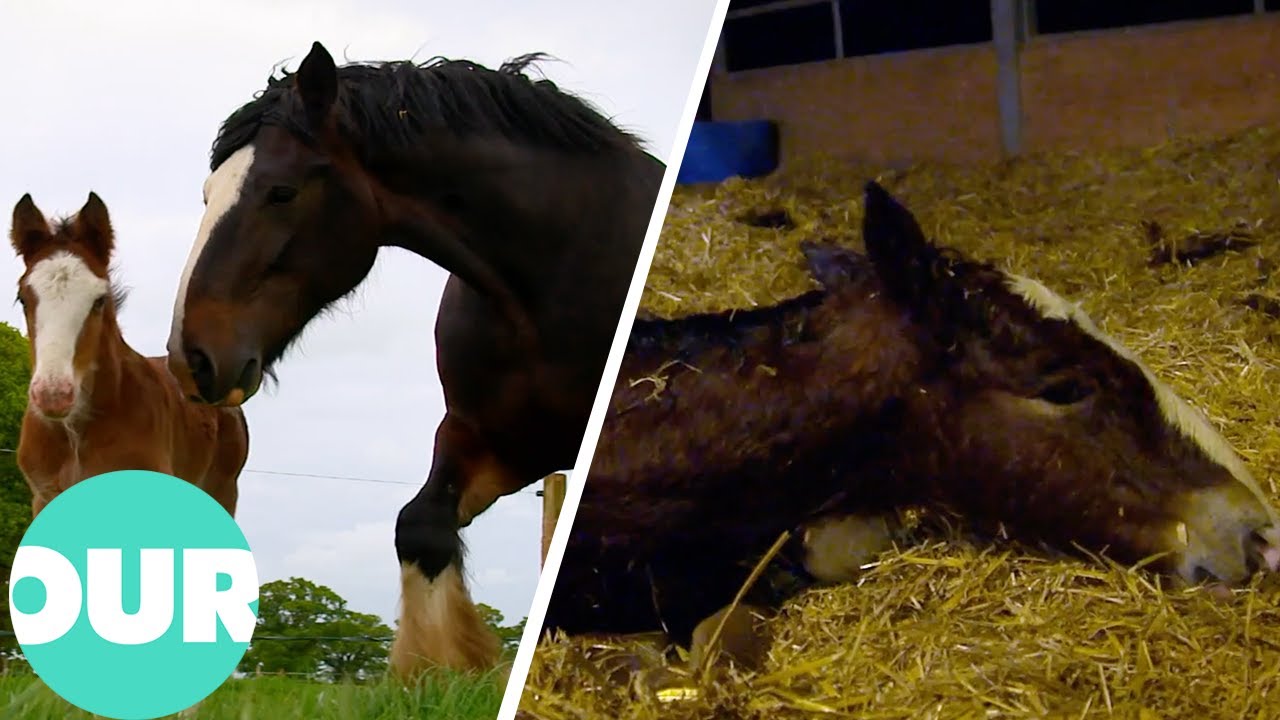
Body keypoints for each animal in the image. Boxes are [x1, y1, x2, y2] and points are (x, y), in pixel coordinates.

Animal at [162, 41, 665, 676]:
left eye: (282, 191)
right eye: (208, 195)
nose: (191, 358)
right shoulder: (496, 440)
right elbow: (420, 527)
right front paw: (442, 670)